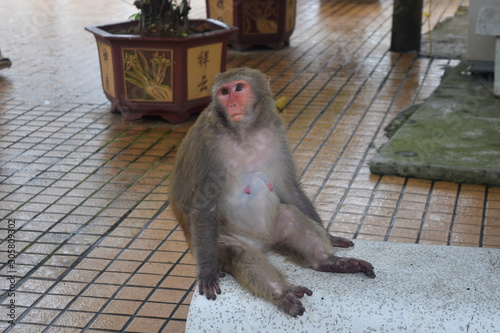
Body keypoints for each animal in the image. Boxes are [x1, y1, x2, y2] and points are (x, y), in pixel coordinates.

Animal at [170, 67, 374, 316]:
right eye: (224, 92)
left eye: (239, 88)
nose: (232, 105)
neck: (245, 132)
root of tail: (263, 244)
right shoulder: (208, 143)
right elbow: (205, 204)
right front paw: (207, 272)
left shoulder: (276, 133)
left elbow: (288, 188)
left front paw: (331, 237)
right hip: (223, 239)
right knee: (240, 252)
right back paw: (282, 294)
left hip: (274, 231)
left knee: (291, 215)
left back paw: (329, 262)